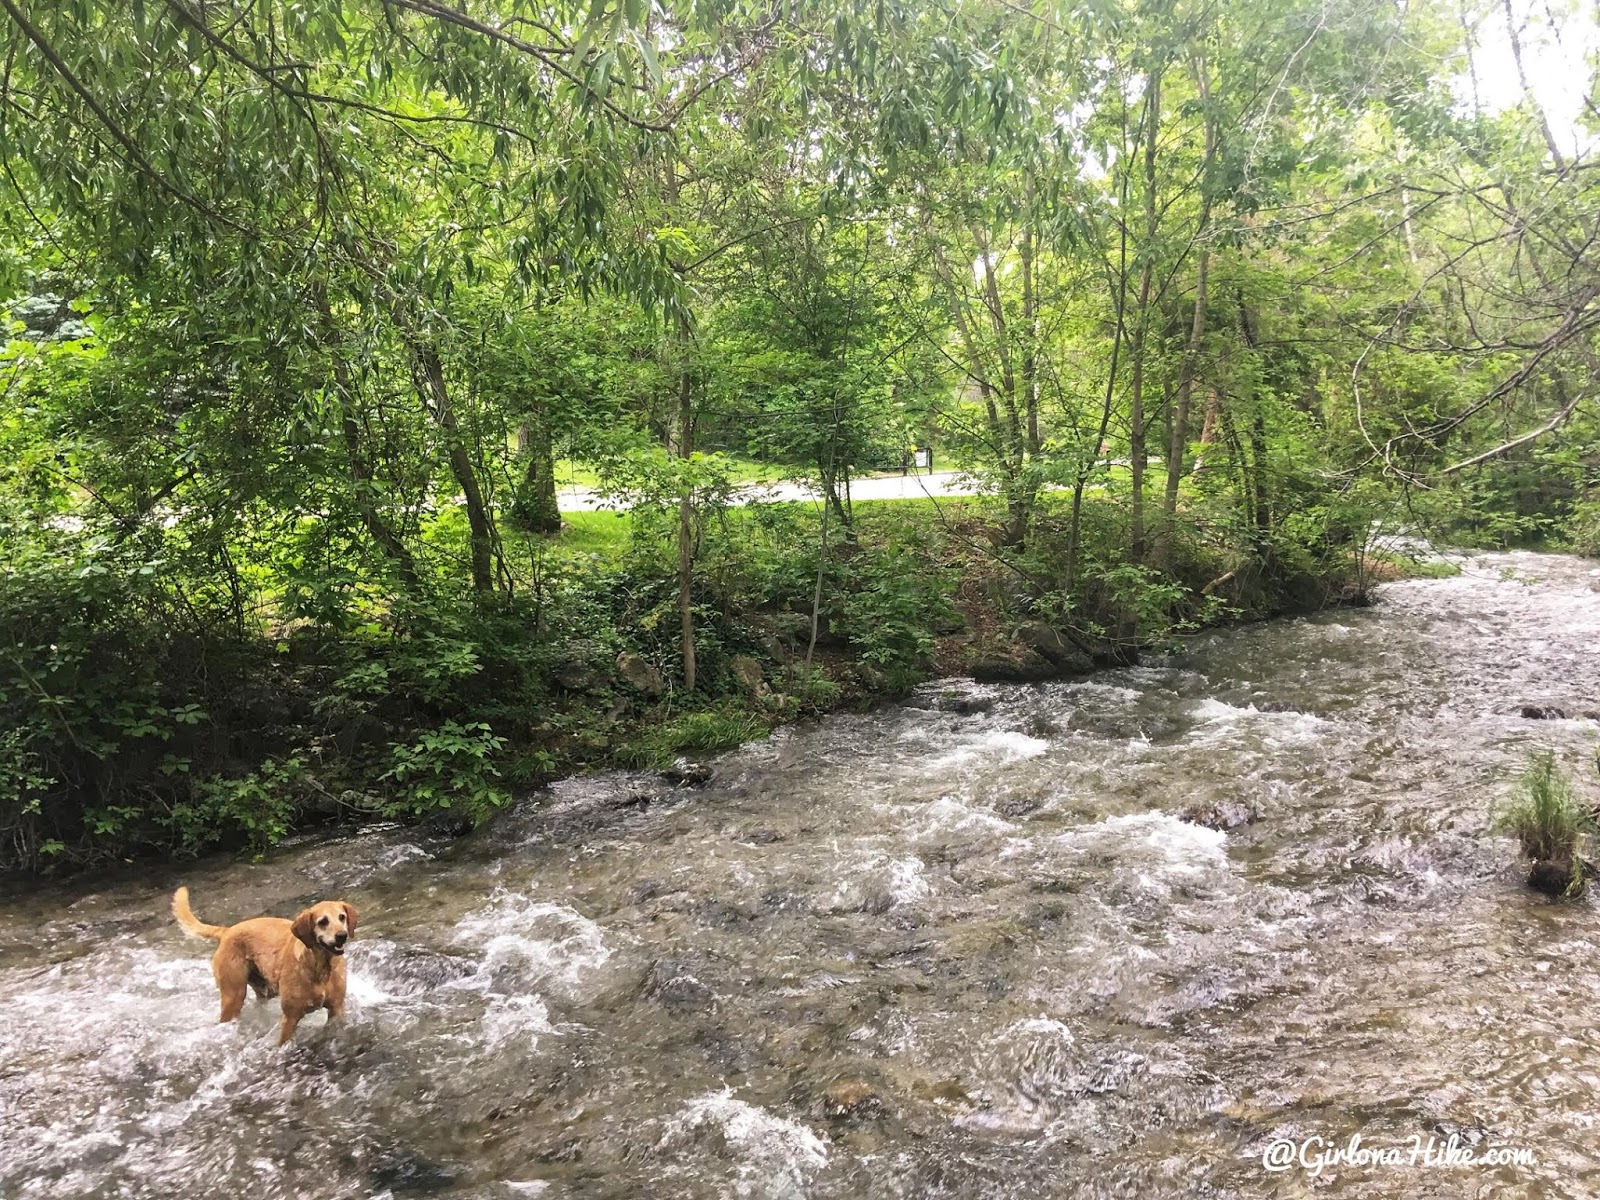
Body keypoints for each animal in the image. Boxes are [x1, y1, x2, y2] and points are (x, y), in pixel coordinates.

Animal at [173, 889, 358, 1049]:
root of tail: (227, 931)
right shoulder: (290, 1017)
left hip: (265, 989)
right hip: (233, 996)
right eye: (323, 922)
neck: (319, 967)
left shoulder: (336, 1009)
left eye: (342, 917)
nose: (342, 935)